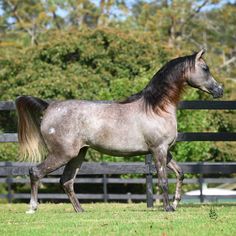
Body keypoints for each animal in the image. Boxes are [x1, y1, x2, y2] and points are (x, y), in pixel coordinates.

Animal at [16, 48, 223, 213]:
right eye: (205, 68)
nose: (219, 90)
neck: (156, 107)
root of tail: (49, 107)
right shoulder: (158, 150)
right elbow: (163, 180)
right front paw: (168, 208)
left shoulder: (166, 151)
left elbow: (180, 173)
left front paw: (176, 203)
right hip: (62, 154)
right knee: (36, 172)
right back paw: (32, 208)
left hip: (77, 155)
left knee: (66, 181)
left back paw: (80, 210)